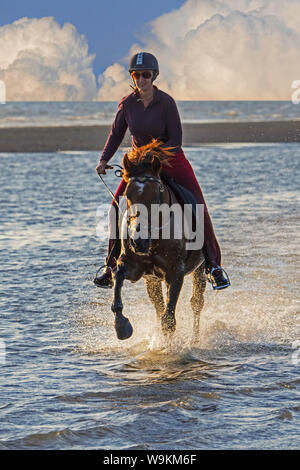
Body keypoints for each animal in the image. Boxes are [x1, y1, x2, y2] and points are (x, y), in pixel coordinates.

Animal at [110, 140, 206, 342]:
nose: (138, 241)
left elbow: (169, 320)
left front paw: (169, 347)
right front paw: (121, 326)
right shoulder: (132, 267)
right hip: (152, 280)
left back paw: (195, 338)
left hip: (199, 268)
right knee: (158, 305)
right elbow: (117, 280)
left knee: (196, 303)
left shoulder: (176, 272)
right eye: (127, 195)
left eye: (156, 195)